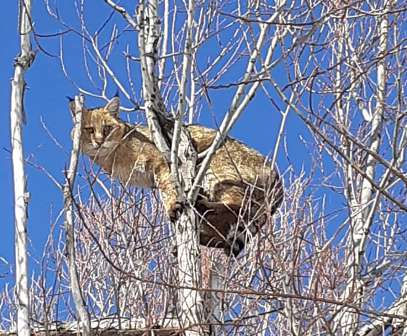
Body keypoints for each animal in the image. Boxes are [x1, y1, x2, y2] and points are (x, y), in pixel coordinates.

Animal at [71, 97, 284, 258]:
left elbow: (168, 188)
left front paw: (172, 206)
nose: (99, 141)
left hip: (216, 168)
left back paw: (202, 206)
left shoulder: (161, 162)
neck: (112, 156)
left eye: (107, 128)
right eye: (89, 130)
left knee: (237, 206)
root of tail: (277, 175)